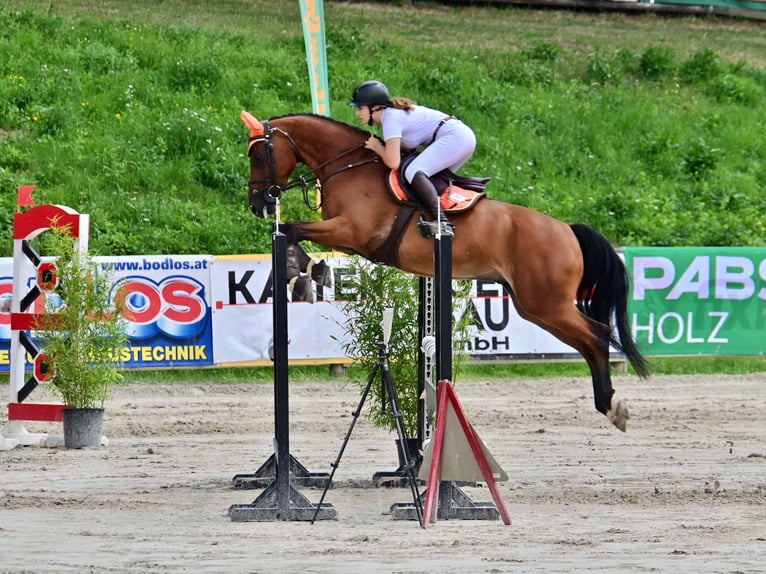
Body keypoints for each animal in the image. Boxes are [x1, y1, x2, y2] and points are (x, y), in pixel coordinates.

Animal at [240, 111, 649, 431]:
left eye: (259, 154)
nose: (258, 204)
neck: (349, 167)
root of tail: (567, 230)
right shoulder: (350, 241)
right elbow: (294, 232)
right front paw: (309, 272)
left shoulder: (352, 231)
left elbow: (292, 227)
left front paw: (307, 275)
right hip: (535, 306)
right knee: (588, 340)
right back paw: (608, 404)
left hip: (546, 302)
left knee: (596, 335)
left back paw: (612, 406)